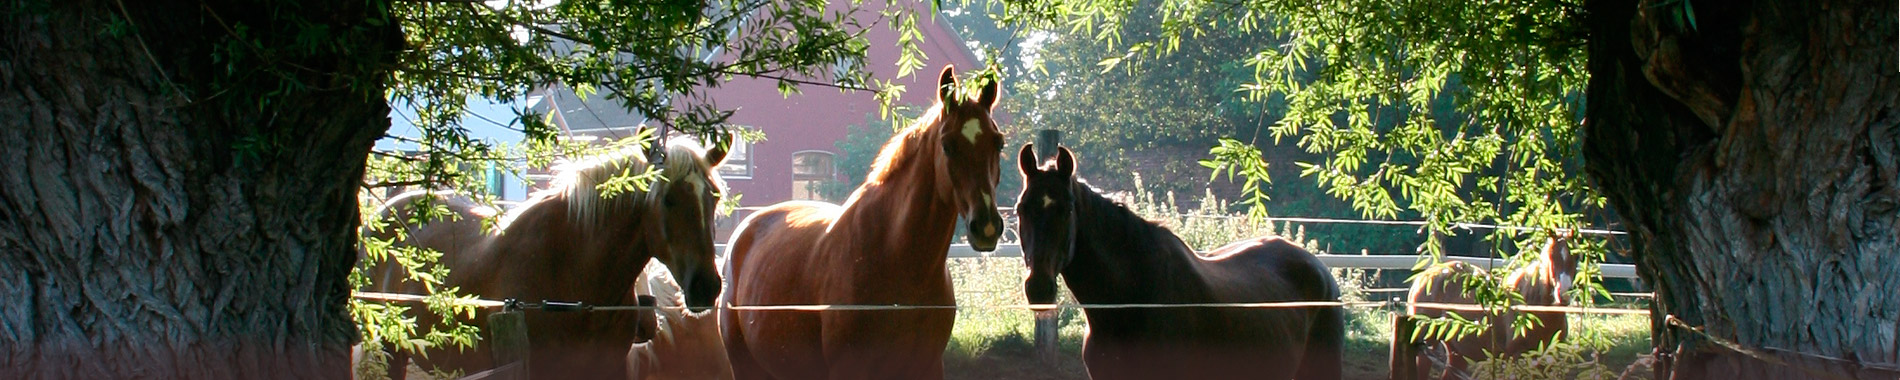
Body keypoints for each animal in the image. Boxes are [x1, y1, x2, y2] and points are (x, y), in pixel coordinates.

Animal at [714, 66, 1010, 380]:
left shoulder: (928, 366)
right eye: (948, 145)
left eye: (998, 141)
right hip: (744, 365)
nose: (986, 226)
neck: (896, 258)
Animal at [1390, 229, 1580, 378]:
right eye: (1551, 256)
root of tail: (1426, 275)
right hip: (1426, 345)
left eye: (1576, 257)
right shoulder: (1515, 357)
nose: (1563, 293)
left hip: (1458, 354)